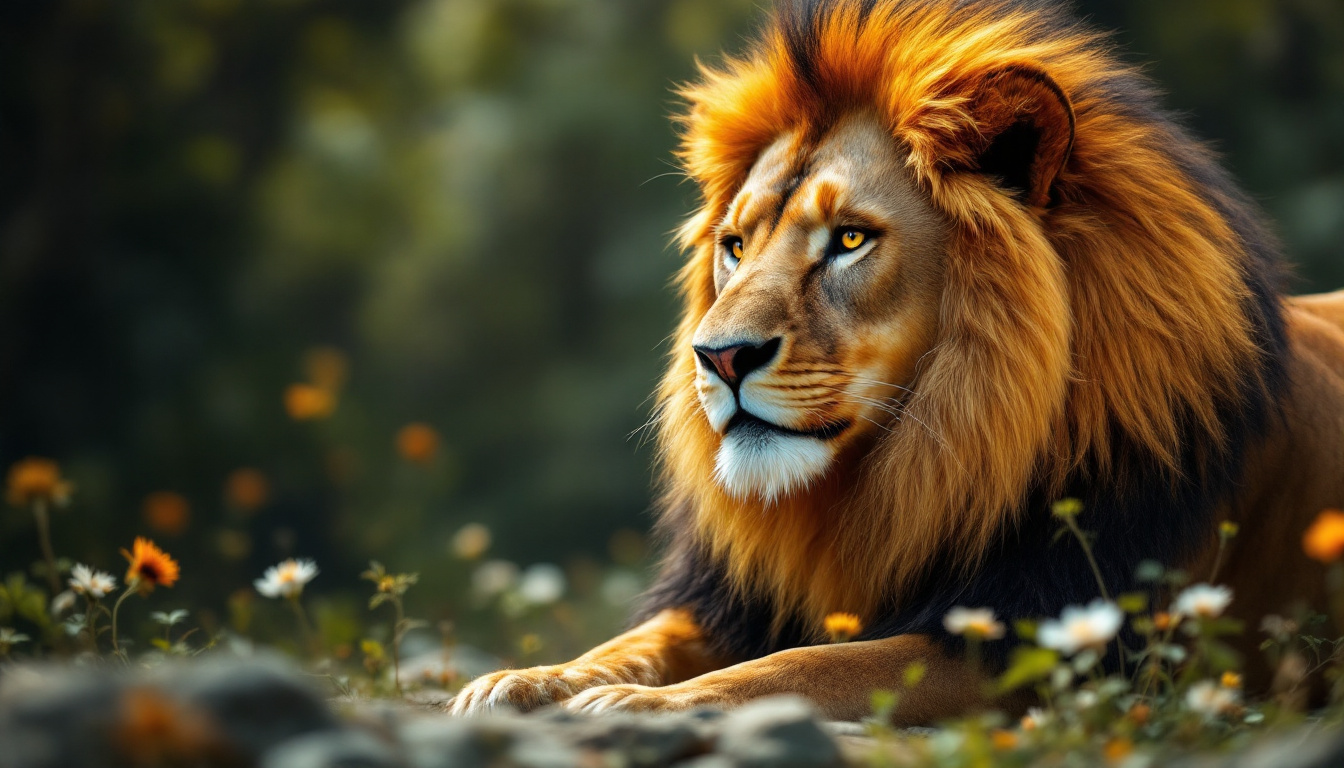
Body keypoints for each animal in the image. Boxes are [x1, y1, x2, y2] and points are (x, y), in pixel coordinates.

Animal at [451, 0, 1344, 723]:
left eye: (850, 238)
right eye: (735, 246)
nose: (719, 357)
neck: (902, 473)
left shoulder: (1048, 640)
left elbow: (806, 666)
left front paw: (645, 704)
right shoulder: (733, 600)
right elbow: (638, 639)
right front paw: (522, 680)